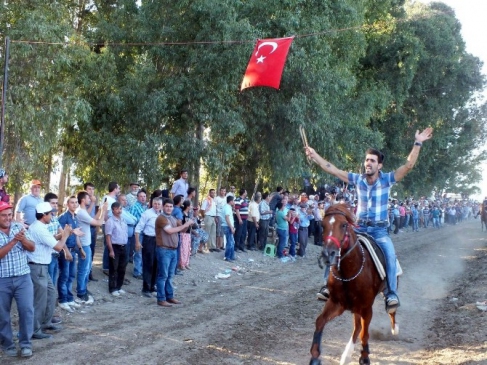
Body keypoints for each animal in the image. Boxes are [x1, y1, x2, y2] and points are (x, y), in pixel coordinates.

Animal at [310, 205, 398, 364]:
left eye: (344, 225)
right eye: (322, 225)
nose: (328, 254)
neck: (349, 273)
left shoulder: (367, 308)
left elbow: (365, 333)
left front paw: (365, 357)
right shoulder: (336, 303)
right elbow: (320, 321)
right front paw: (314, 357)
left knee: (391, 310)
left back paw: (395, 328)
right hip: (355, 307)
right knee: (357, 327)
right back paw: (346, 356)